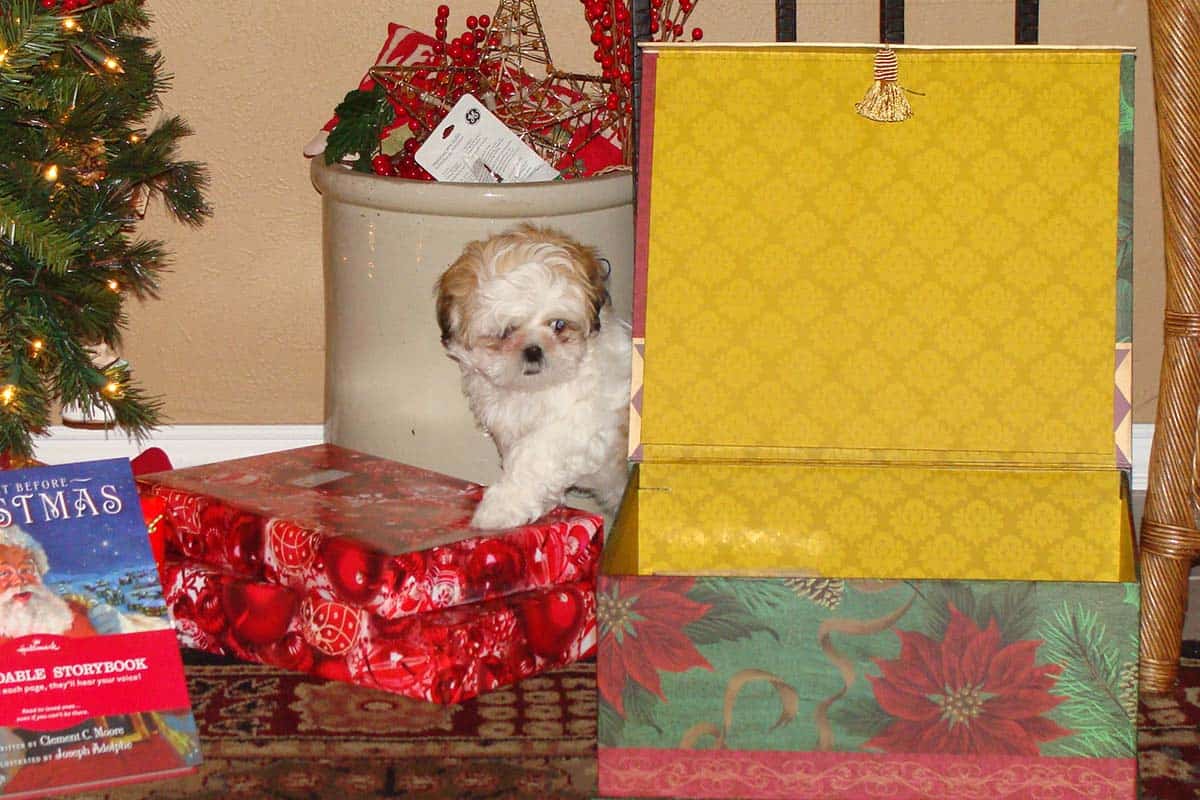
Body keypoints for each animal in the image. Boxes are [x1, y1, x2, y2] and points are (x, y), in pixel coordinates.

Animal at [436, 221, 633, 527]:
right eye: (506, 332)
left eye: (559, 325)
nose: (533, 351)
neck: (535, 390)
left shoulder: (581, 423)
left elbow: (531, 457)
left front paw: (500, 507)